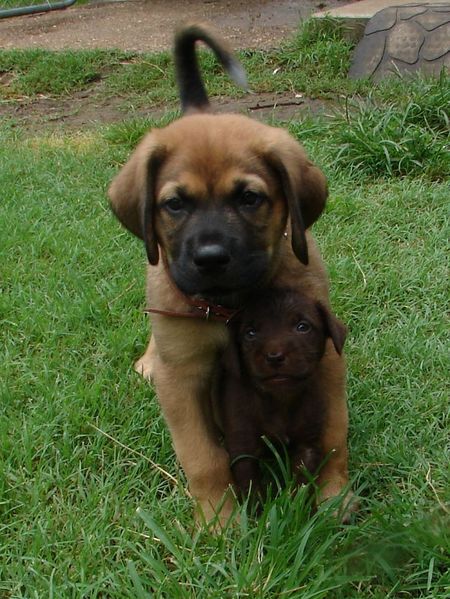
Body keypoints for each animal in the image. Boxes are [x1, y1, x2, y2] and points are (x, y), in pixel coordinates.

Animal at [218, 288, 348, 504]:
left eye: (302, 327)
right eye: (250, 333)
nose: (274, 357)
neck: (279, 398)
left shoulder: (308, 444)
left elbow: (302, 483)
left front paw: (297, 507)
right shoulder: (242, 446)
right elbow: (250, 485)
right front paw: (256, 510)